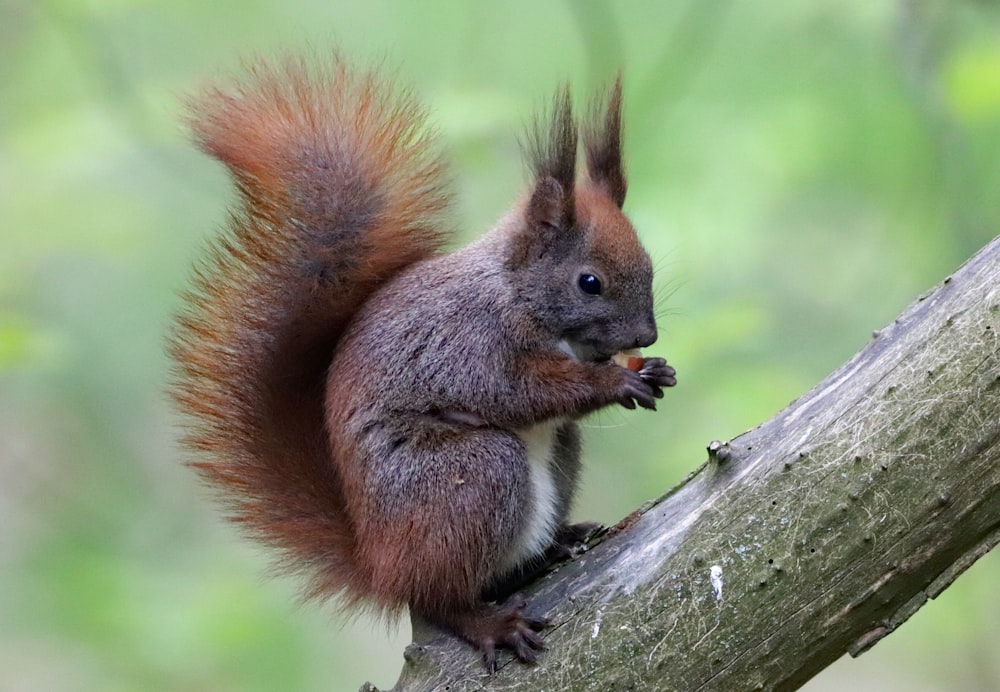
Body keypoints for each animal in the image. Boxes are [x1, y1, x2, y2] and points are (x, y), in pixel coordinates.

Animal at [172, 54, 676, 672]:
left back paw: (555, 544)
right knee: (438, 599)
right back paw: (487, 622)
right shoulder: (471, 344)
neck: (515, 291)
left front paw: (654, 370)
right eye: (589, 282)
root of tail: (380, 565)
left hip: (552, 460)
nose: (647, 335)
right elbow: (519, 393)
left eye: (649, 264)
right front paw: (614, 381)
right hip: (470, 476)